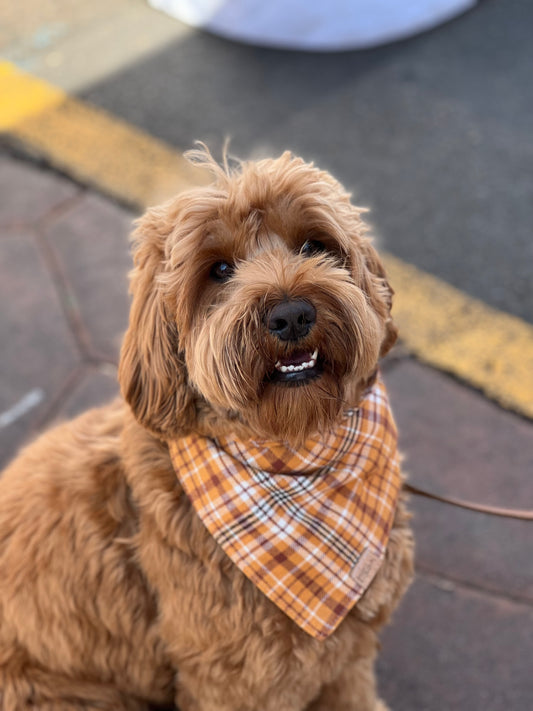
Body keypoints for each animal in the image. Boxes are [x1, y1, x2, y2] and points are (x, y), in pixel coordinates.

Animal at [0, 147, 412, 708]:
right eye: (219, 270)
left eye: (313, 245)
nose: (291, 315)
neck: (293, 457)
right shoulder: (240, 682)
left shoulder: (350, 652)